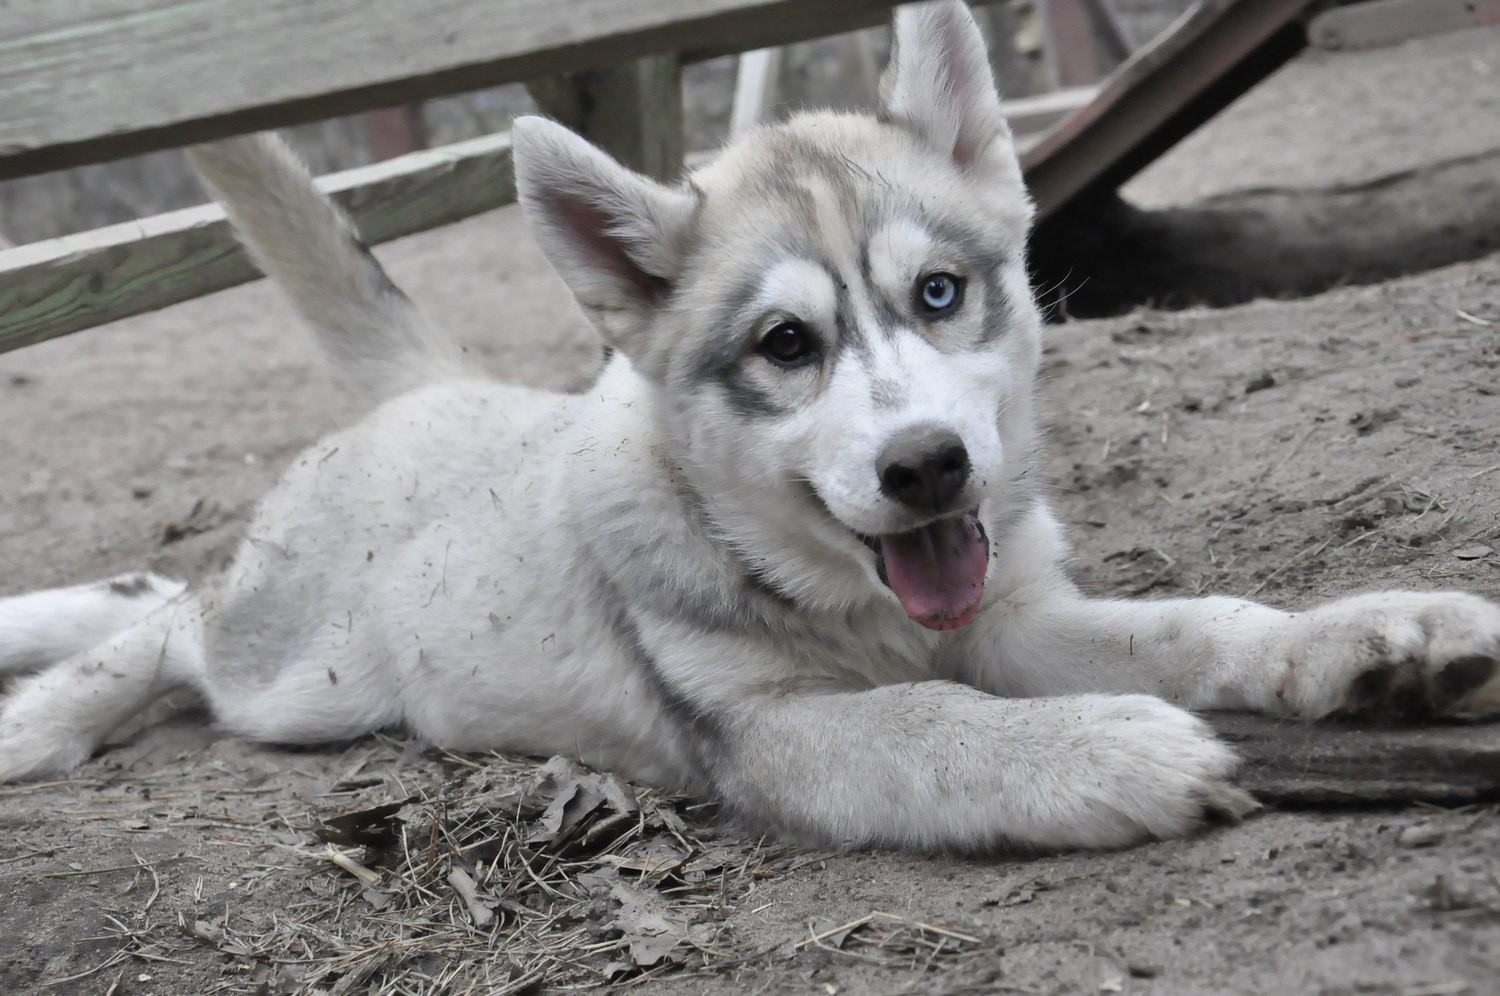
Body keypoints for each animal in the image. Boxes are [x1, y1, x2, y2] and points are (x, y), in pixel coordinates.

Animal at [2, 1, 1500, 858]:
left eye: (938, 294)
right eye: (787, 345)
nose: (928, 467)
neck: (848, 599)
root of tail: (429, 387)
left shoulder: (1016, 617)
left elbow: (1199, 624)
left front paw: (1373, 640)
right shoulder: (771, 736)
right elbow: (936, 722)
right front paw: (1109, 753)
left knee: (145, 585)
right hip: (293, 676)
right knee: (173, 619)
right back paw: (46, 721)